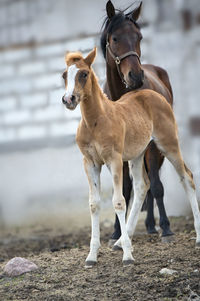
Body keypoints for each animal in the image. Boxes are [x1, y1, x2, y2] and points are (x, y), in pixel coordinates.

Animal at [61, 48, 200, 266]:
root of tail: (156, 94)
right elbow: (94, 204)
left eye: (83, 74)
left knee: (187, 177)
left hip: (167, 144)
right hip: (138, 153)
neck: (95, 122)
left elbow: (119, 201)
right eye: (64, 75)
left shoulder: (115, 160)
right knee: (142, 186)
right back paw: (120, 242)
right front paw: (92, 257)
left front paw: (127, 256)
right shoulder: (90, 163)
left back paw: (197, 237)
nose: (69, 99)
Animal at [101, 0, 174, 244]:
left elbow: (156, 186)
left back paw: (154, 225)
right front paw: (116, 232)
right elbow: (123, 190)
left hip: (159, 147)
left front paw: (166, 228)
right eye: (115, 38)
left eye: (139, 37)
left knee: (152, 183)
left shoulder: (151, 146)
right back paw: (149, 225)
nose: (136, 76)